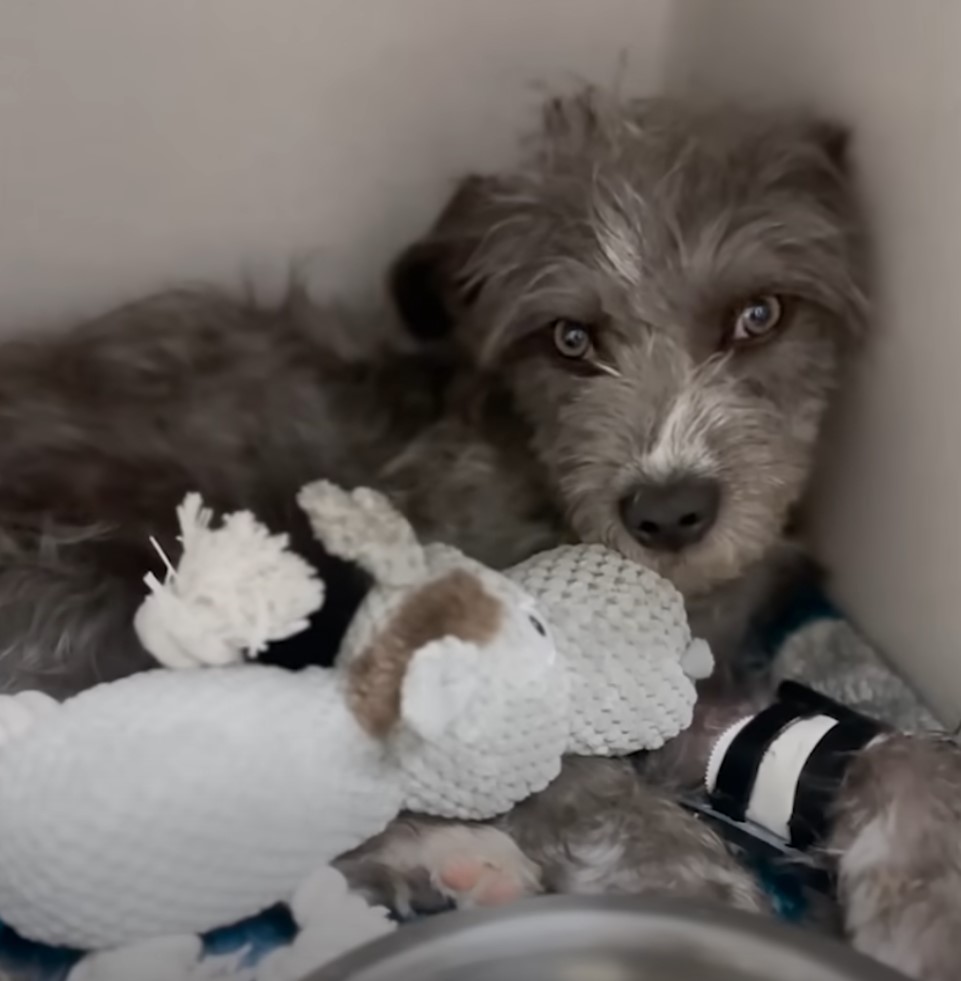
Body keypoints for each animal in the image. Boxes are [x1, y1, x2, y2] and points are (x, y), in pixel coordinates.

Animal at [0, 90, 956, 972]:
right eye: (569, 338)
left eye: (760, 315)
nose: (668, 514)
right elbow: (590, 792)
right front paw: (690, 892)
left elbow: (885, 750)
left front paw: (927, 907)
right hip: (104, 607)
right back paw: (445, 855)